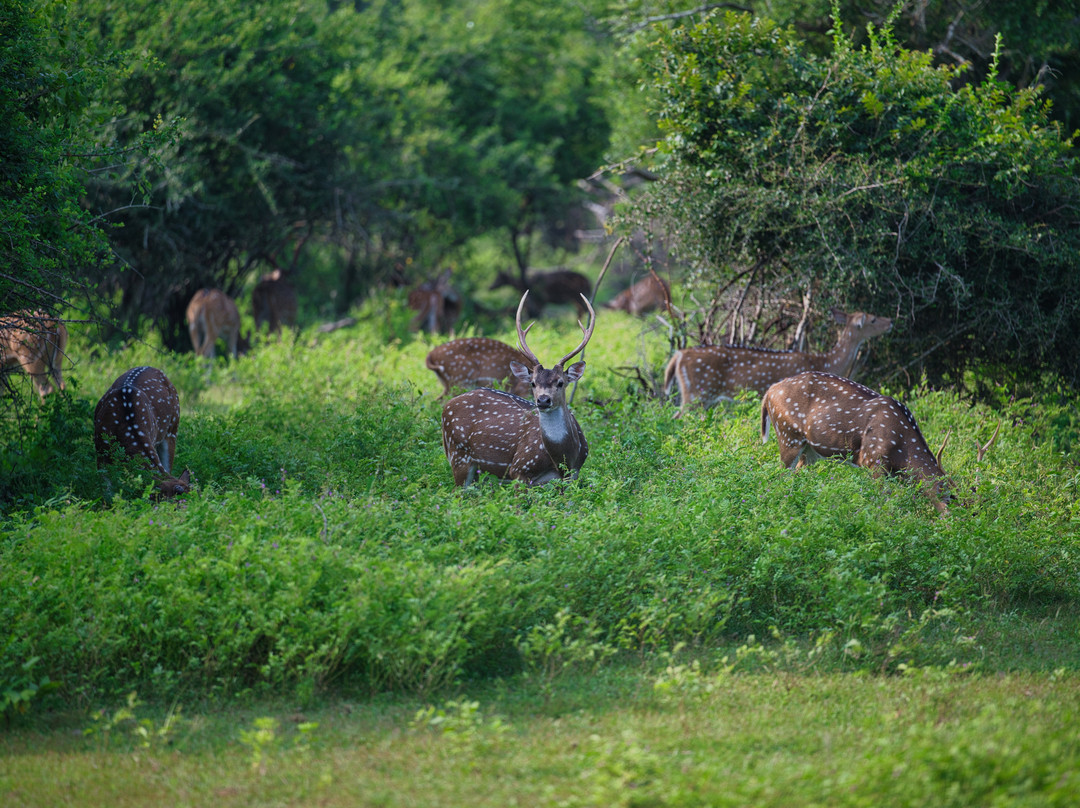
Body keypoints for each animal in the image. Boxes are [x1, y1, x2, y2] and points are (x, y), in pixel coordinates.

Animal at [440, 293, 600, 488]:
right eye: (533, 383)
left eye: (561, 382)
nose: (543, 400)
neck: (563, 459)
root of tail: (447, 406)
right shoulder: (519, 468)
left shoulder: (573, 475)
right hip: (458, 456)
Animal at [760, 371, 954, 514]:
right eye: (951, 498)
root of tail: (769, 392)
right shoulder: (872, 460)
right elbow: (883, 498)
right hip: (788, 435)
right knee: (779, 476)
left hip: (810, 451)